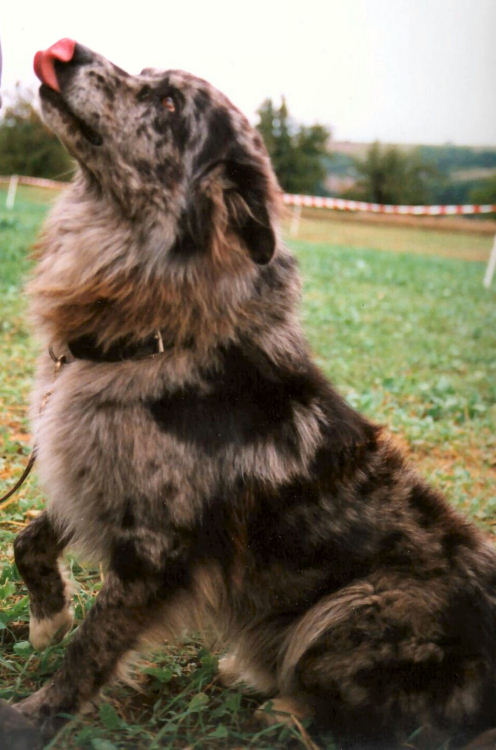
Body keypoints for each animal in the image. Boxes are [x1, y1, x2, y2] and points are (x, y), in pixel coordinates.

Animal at [5, 38, 496, 748]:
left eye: (169, 103)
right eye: (146, 77)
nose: (64, 52)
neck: (160, 327)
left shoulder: (154, 548)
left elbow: (92, 649)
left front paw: (31, 717)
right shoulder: (92, 476)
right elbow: (29, 541)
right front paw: (49, 616)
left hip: (351, 606)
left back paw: (283, 707)